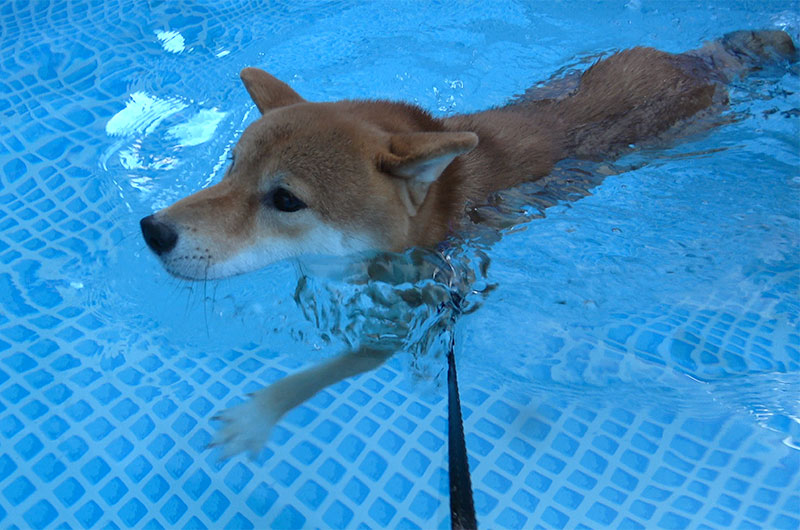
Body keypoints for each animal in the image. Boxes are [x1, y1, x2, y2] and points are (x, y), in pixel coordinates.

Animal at [139, 29, 792, 454]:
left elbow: (319, 375)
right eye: (231, 167)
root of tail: (694, 61)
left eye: (285, 200)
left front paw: (259, 415)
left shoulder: (409, 321)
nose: (153, 230)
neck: (437, 212)